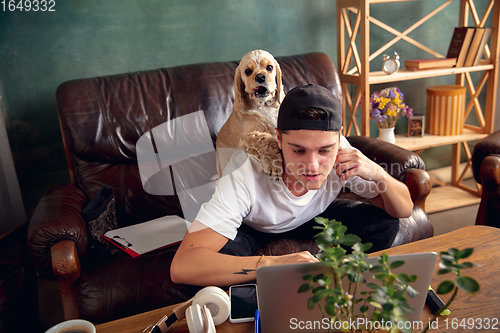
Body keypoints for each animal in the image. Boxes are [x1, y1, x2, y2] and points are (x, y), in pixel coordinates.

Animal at [216, 49, 284, 178]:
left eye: (269, 67)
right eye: (247, 71)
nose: (260, 76)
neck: (264, 106)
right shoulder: (247, 137)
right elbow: (267, 139)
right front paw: (273, 164)